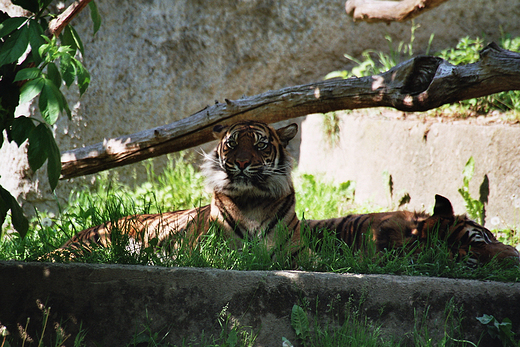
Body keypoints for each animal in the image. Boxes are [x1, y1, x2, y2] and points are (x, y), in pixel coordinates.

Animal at [50, 122, 302, 260]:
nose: (241, 163)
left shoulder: (295, 252)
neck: (252, 202)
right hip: (93, 245)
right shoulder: (210, 250)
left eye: (261, 145)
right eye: (232, 144)